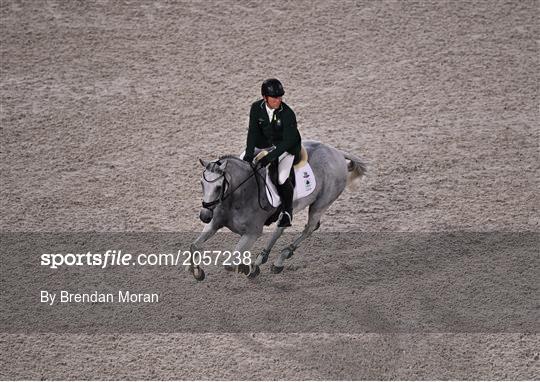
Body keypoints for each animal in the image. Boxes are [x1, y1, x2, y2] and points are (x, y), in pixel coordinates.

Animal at [188, 140, 364, 280]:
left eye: (218, 187)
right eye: (201, 183)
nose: (204, 216)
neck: (238, 196)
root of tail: (337, 153)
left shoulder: (252, 233)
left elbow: (229, 264)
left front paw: (246, 268)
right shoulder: (214, 224)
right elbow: (194, 246)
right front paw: (197, 272)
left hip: (320, 204)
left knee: (309, 228)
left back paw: (278, 260)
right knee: (283, 228)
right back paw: (263, 259)